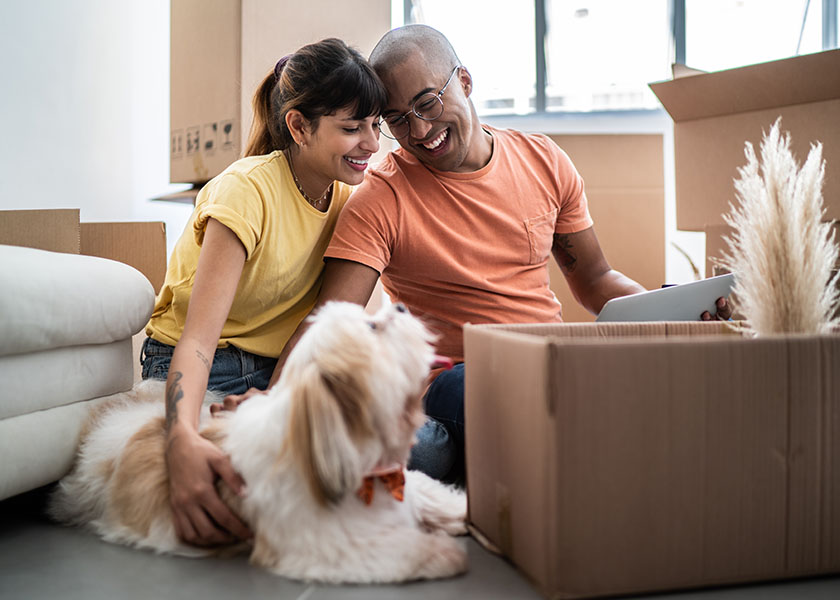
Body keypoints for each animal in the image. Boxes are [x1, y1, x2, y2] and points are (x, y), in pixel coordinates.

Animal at [49, 302, 470, 584]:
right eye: (372, 326)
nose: (399, 305)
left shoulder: (406, 484)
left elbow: (431, 492)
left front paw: (461, 513)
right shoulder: (324, 544)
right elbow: (403, 550)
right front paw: (445, 552)